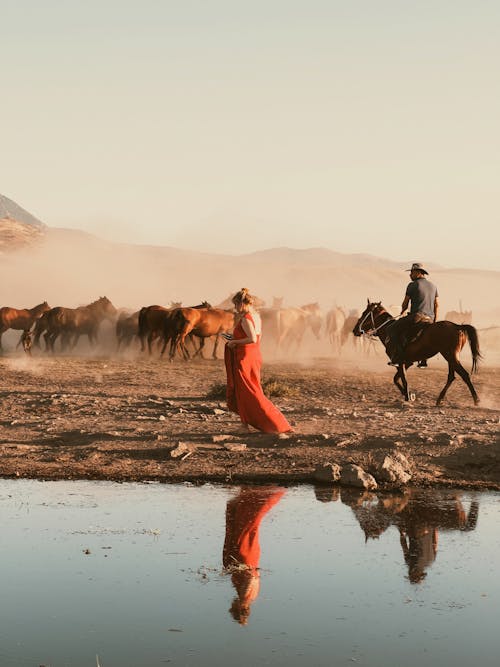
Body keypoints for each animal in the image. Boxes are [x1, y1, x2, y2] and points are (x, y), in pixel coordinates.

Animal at [352, 300, 480, 404]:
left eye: (364, 313)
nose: (355, 330)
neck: (387, 330)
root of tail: (458, 326)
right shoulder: (408, 362)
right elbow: (397, 379)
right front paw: (406, 394)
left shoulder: (400, 362)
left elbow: (402, 379)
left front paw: (407, 396)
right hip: (451, 357)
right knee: (451, 377)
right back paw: (439, 399)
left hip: (450, 356)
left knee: (464, 375)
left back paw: (476, 400)